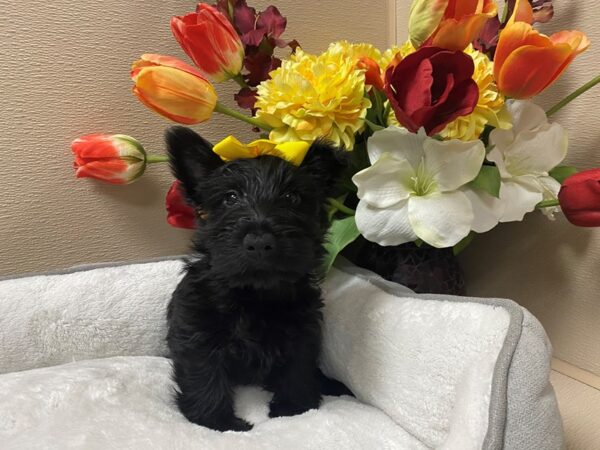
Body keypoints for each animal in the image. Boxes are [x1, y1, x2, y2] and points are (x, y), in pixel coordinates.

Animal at [168, 126, 346, 432]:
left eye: (291, 198)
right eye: (230, 198)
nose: (260, 242)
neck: (255, 293)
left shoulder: (302, 331)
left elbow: (297, 370)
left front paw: (292, 409)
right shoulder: (197, 331)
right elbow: (205, 375)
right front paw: (220, 422)